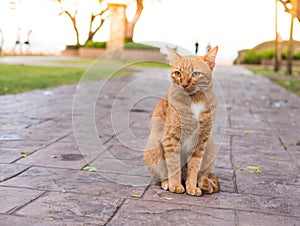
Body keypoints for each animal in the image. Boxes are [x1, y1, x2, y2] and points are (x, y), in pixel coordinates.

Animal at [144, 46, 219, 196]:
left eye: (195, 74)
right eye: (177, 73)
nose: (184, 84)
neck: (194, 100)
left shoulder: (201, 141)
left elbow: (194, 167)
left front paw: (191, 186)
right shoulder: (171, 138)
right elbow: (173, 165)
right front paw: (175, 185)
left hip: (211, 148)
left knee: (203, 175)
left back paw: (202, 183)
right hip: (154, 146)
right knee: (161, 175)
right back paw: (167, 183)